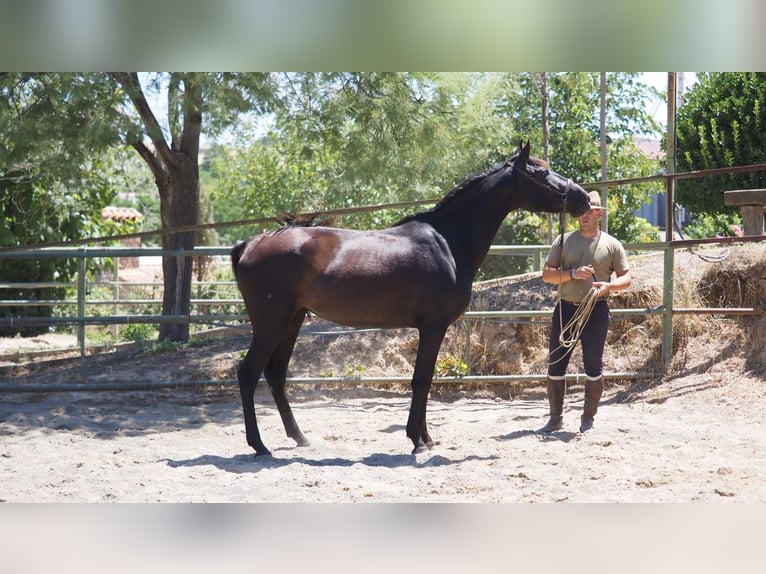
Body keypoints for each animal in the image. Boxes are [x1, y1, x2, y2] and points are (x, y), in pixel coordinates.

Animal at [231, 144, 592, 460]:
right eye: (541, 173)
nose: (583, 198)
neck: (448, 242)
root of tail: (249, 244)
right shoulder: (432, 327)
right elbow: (421, 381)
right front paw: (417, 441)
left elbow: (426, 380)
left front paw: (426, 438)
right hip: (270, 324)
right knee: (248, 373)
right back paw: (259, 446)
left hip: (291, 320)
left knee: (276, 375)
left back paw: (299, 437)